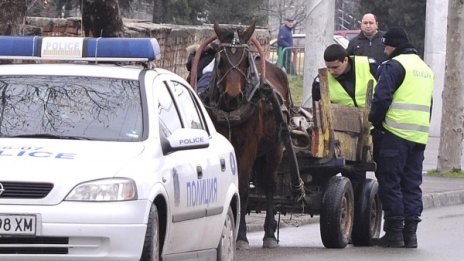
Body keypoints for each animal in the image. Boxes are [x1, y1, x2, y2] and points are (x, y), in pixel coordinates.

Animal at [193, 22, 294, 248]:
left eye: (245, 62)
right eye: (221, 60)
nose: (233, 95)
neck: (231, 111)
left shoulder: (248, 147)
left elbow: (244, 188)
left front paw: (240, 237)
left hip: (275, 148)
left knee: (270, 185)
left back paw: (269, 234)